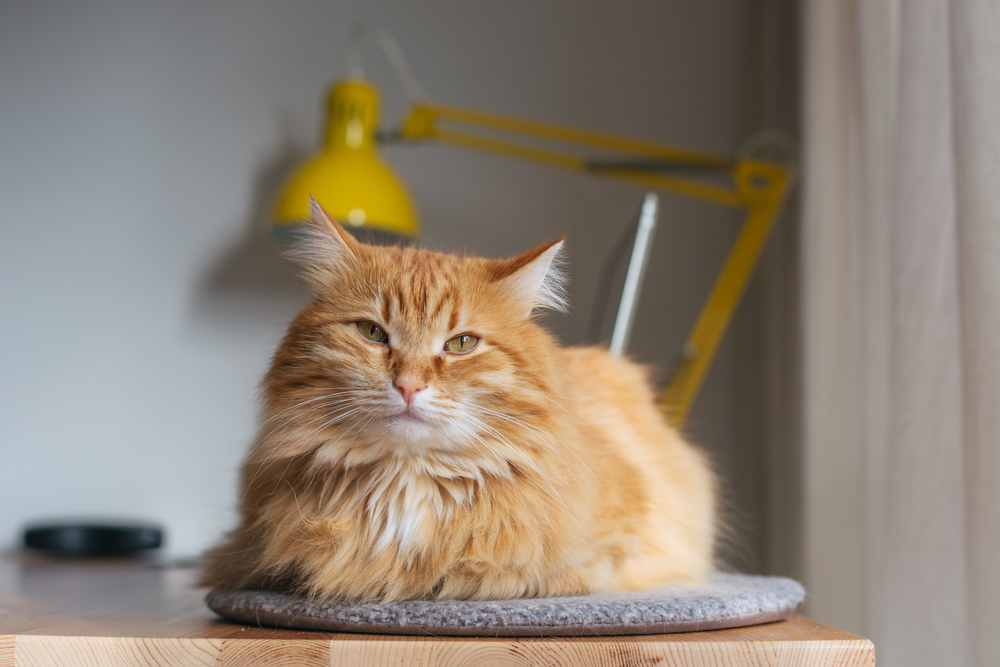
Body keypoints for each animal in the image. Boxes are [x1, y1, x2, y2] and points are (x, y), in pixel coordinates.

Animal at [201, 201, 720, 604]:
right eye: (372, 333)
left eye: (462, 344)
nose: (409, 385)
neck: (406, 485)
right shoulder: (246, 548)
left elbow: (518, 574)